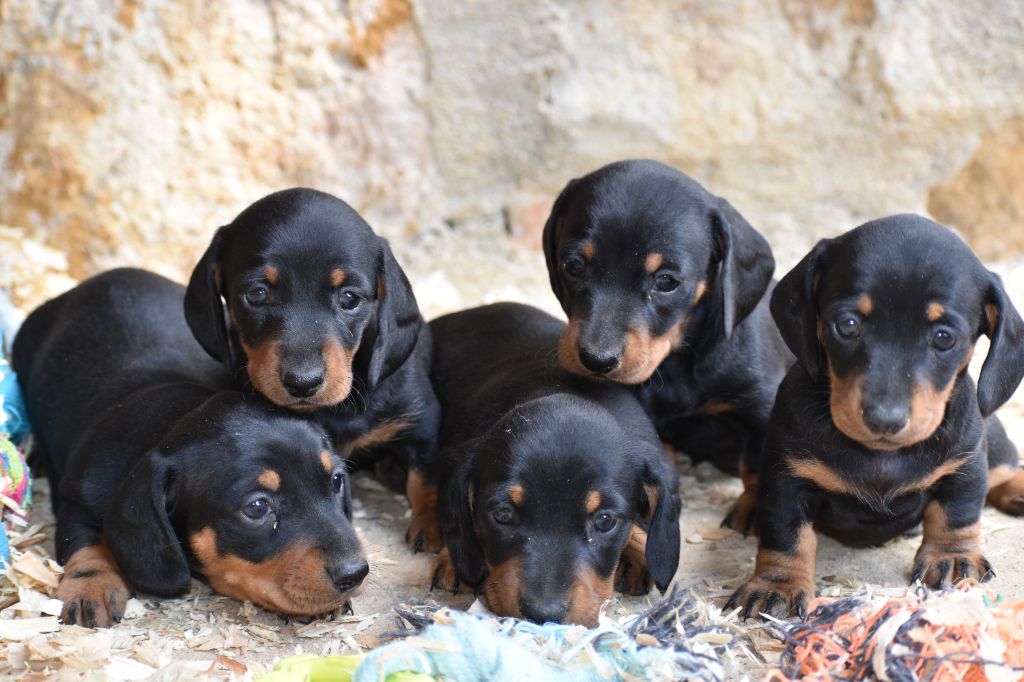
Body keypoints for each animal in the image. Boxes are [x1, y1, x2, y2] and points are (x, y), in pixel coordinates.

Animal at [14, 268, 366, 622]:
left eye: (337, 480)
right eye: (257, 507)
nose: (355, 573)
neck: (174, 417)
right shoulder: (77, 497)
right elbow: (83, 541)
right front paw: (90, 586)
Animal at [186, 188, 442, 548]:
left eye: (349, 298)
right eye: (256, 294)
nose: (303, 382)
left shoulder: (422, 416)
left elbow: (426, 473)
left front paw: (432, 524)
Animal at [544, 160, 790, 532]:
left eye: (666, 282)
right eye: (573, 265)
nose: (596, 360)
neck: (676, 363)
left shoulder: (762, 407)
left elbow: (757, 462)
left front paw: (754, 507)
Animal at [729, 215, 1024, 618]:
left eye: (944, 337)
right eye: (848, 325)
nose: (885, 419)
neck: (880, 455)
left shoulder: (964, 465)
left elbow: (957, 514)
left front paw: (951, 557)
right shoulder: (786, 477)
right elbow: (786, 534)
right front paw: (778, 584)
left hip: (993, 442)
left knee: (1005, 469)